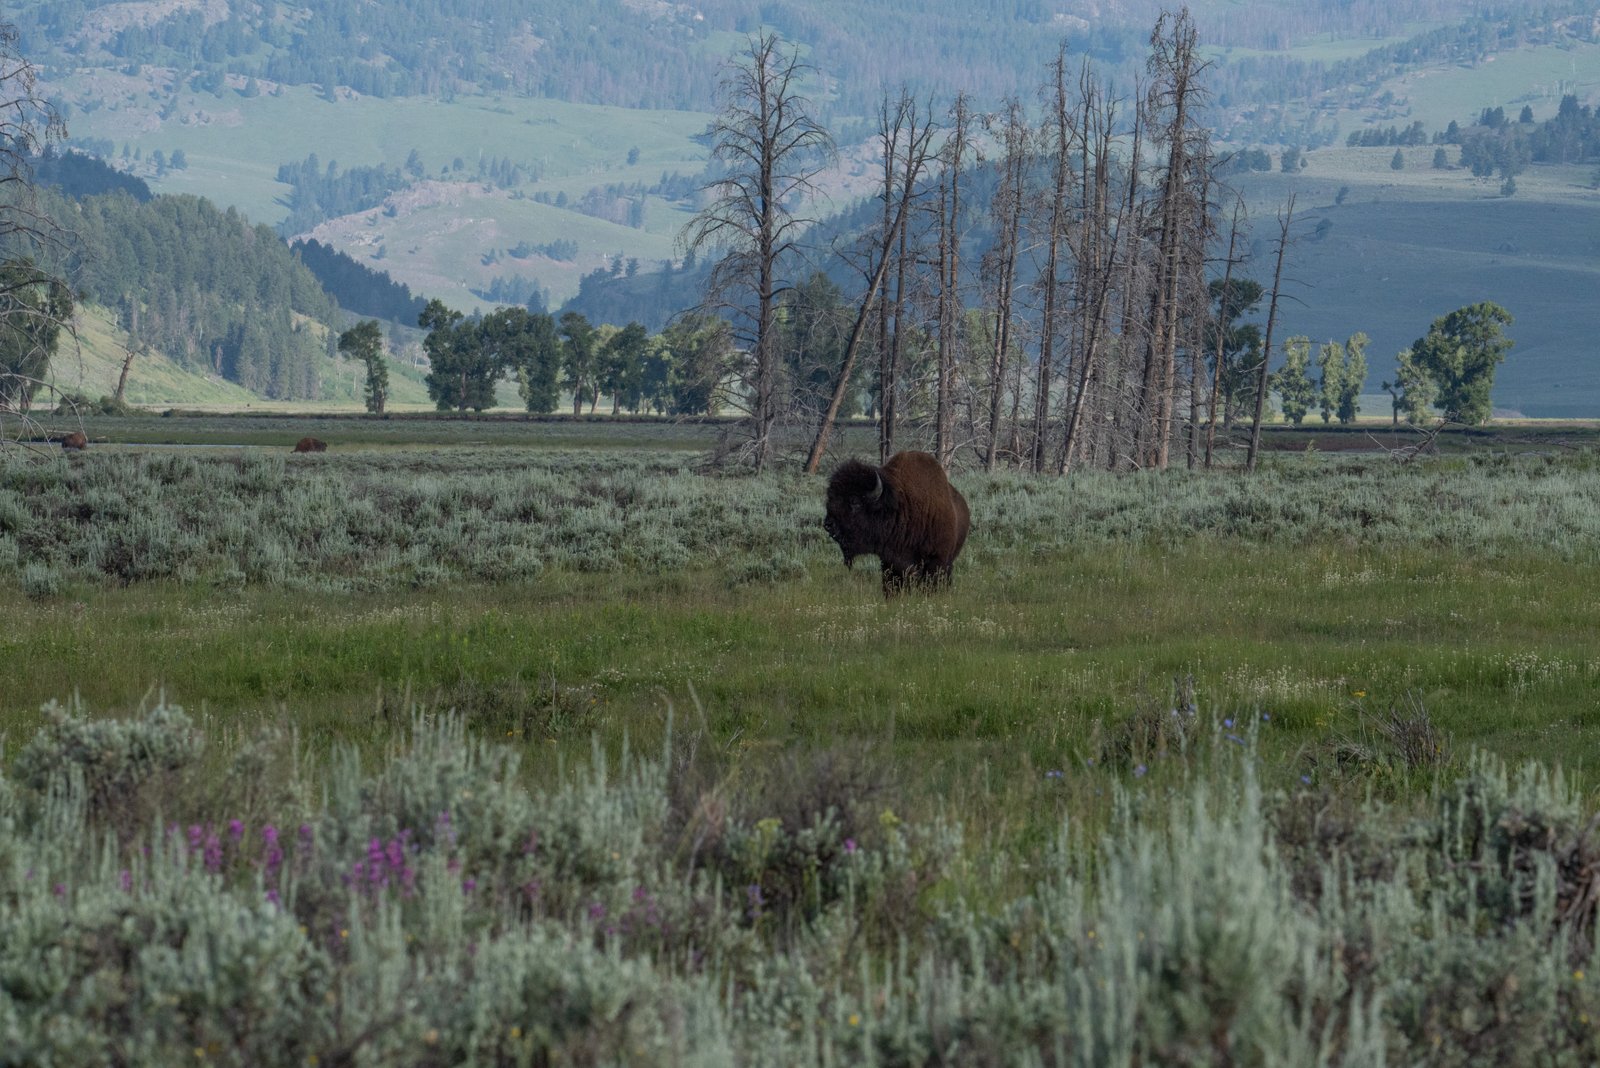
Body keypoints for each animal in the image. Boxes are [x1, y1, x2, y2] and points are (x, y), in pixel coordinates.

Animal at [823, 450, 970, 596]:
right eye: (831, 497)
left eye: (855, 501)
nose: (828, 525)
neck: (899, 507)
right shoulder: (890, 562)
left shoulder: (936, 560)